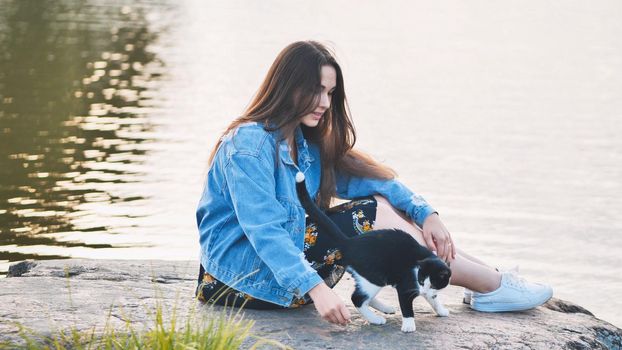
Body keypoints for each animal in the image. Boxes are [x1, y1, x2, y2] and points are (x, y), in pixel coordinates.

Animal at [294, 172, 450, 334]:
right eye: (421, 281)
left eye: (432, 284)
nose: (423, 291)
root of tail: (350, 242)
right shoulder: (406, 286)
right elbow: (407, 307)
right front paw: (408, 325)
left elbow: (434, 299)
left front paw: (441, 310)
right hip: (374, 276)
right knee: (357, 298)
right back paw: (375, 319)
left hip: (369, 277)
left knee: (364, 295)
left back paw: (385, 308)